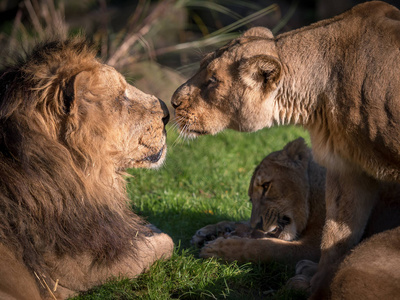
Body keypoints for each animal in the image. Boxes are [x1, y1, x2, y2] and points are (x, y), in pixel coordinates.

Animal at [173, 1, 400, 298]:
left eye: (212, 80)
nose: (173, 102)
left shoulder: (309, 240)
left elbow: (270, 247)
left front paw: (222, 247)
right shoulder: (348, 169)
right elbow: (336, 240)